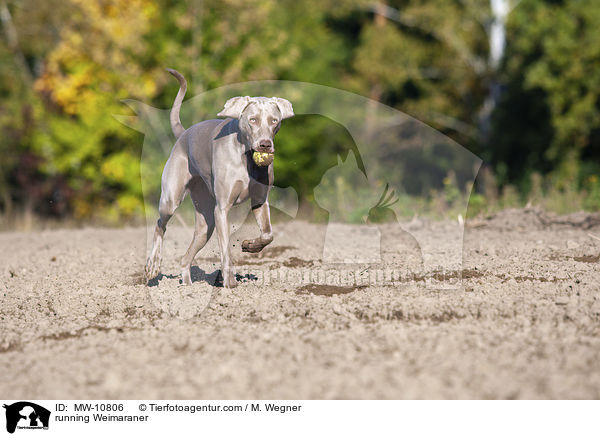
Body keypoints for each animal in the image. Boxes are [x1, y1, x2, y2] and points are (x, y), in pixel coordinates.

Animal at [146, 69, 296, 286]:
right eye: (253, 120)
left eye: (274, 121)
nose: (265, 145)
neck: (246, 158)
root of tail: (184, 133)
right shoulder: (222, 209)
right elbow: (225, 248)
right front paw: (230, 283)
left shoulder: (260, 201)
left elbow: (268, 234)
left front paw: (250, 245)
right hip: (171, 199)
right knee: (160, 224)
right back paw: (153, 265)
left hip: (205, 221)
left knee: (187, 255)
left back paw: (188, 286)